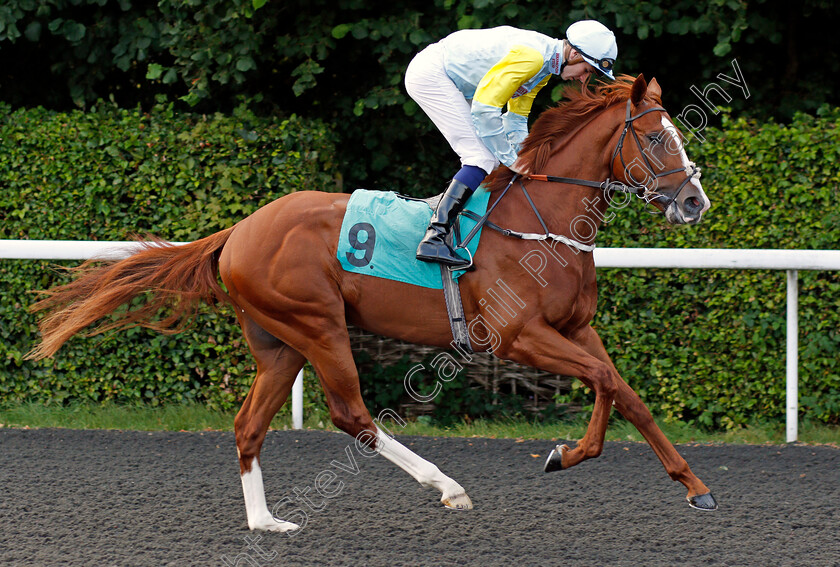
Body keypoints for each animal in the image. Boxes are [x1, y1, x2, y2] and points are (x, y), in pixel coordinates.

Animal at [29, 74, 720, 532]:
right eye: (656, 139)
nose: (694, 202)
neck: (541, 224)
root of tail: (239, 231)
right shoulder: (518, 335)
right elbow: (603, 381)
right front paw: (566, 454)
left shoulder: (576, 329)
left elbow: (624, 391)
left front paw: (695, 487)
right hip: (319, 326)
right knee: (352, 416)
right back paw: (447, 486)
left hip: (279, 343)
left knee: (249, 424)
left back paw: (266, 523)